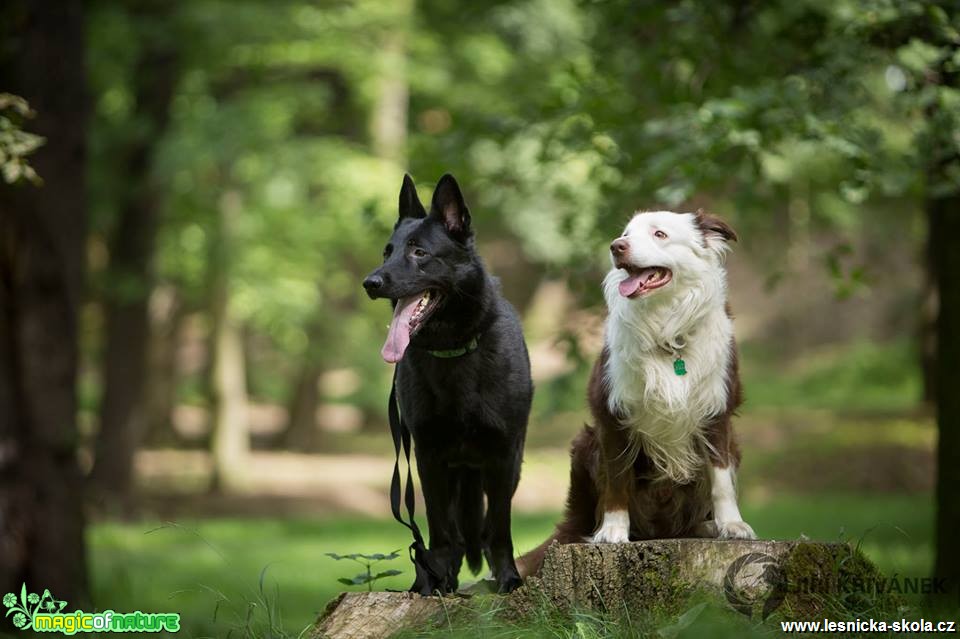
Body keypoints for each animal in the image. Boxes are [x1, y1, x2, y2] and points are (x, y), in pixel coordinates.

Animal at [366, 171, 536, 596]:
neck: (454, 351)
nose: (370, 282)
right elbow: (440, 530)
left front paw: (508, 578)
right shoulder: (429, 456)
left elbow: (500, 528)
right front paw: (432, 584)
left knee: (488, 525)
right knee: (457, 534)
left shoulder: (503, 455)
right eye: (387, 252)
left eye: (419, 252)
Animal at [516, 211, 756, 580]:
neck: (667, 331)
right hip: (585, 444)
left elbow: (721, 479)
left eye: (660, 234)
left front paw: (732, 524)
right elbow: (617, 478)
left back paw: (707, 526)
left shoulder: (718, 411)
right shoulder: (612, 414)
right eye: (626, 234)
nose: (617, 246)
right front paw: (613, 531)